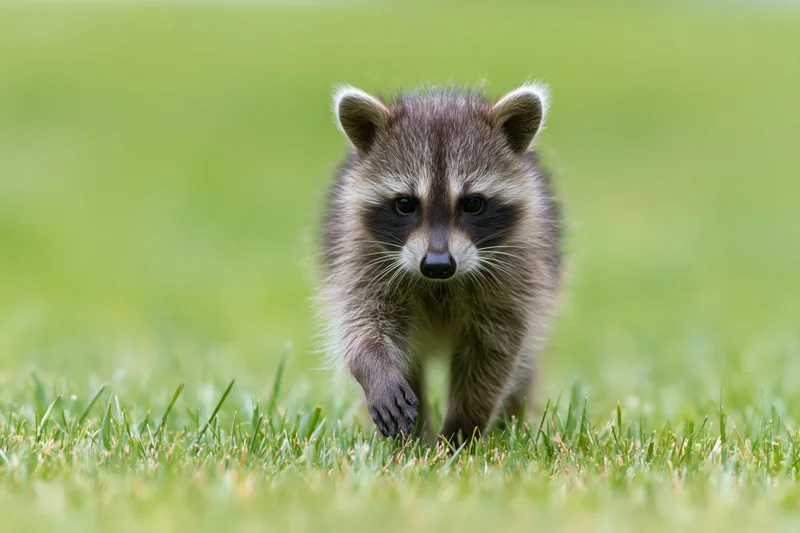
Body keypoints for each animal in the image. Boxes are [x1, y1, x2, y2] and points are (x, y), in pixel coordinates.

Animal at [318, 82, 562, 445]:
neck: (439, 285)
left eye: (473, 203)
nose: (436, 265)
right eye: (405, 204)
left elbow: (494, 356)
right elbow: (362, 325)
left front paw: (461, 431)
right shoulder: (359, 256)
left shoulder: (518, 269)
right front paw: (375, 369)